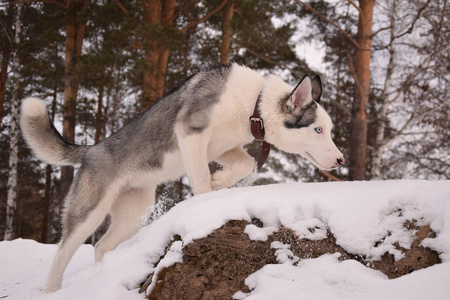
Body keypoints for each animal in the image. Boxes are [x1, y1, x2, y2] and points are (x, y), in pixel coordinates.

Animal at [20, 62, 344, 290]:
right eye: (318, 129)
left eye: (328, 130)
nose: (341, 160)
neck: (253, 104)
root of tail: (91, 149)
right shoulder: (191, 135)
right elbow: (200, 180)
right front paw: (207, 199)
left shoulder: (224, 148)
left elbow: (248, 163)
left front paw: (220, 182)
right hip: (89, 213)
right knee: (63, 253)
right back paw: (51, 290)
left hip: (134, 214)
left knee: (101, 246)